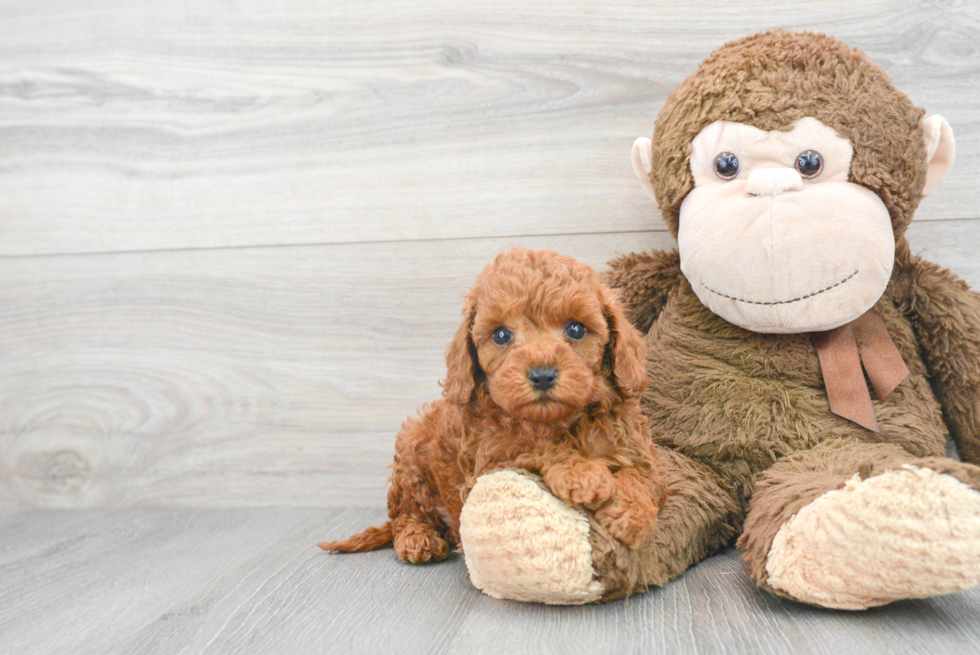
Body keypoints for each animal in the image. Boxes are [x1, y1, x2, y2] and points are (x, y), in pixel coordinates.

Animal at [322, 247, 668, 564]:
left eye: (576, 329)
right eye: (501, 335)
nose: (542, 375)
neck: (558, 422)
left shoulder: (642, 455)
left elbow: (641, 479)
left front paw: (631, 514)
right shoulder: (491, 461)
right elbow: (533, 446)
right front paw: (582, 474)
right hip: (410, 458)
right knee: (404, 515)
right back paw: (418, 538)